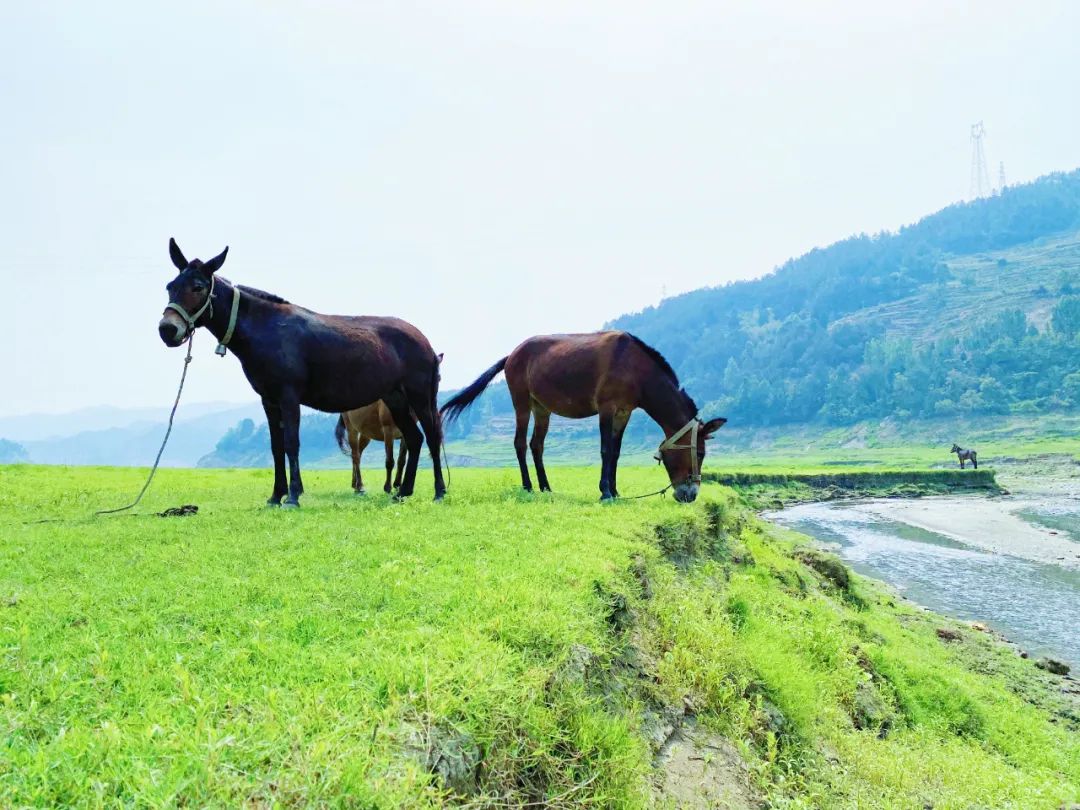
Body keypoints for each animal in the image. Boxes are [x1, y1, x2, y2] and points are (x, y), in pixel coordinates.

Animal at [157, 236, 444, 507]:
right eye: (170, 286)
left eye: (197, 287)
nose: (167, 330)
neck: (265, 329)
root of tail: (426, 343)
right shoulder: (269, 400)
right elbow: (276, 447)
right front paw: (276, 495)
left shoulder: (288, 396)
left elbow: (291, 444)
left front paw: (293, 497)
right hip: (395, 398)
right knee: (415, 438)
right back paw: (403, 492)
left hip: (418, 395)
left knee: (432, 437)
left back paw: (439, 492)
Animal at [438, 330, 725, 501]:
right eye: (700, 454)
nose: (691, 494)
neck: (636, 369)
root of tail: (512, 354)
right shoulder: (607, 408)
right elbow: (605, 450)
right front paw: (605, 491)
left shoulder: (624, 413)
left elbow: (616, 453)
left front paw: (615, 490)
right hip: (521, 403)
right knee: (520, 443)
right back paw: (528, 486)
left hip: (541, 408)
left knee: (536, 445)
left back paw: (545, 487)